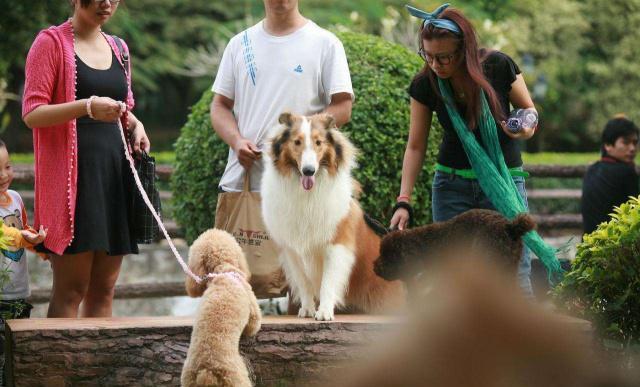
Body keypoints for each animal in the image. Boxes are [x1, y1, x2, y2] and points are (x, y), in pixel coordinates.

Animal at [181, 230, 262, 387]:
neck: (222, 271)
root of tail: (207, 371)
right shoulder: (252, 308)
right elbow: (253, 325)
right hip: (237, 379)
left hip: (188, 379)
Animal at [262, 112, 404, 322]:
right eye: (297, 142)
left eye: (318, 142)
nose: (309, 171)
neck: (307, 195)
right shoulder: (292, 250)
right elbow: (304, 283)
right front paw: (307, 309)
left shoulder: (336, 245)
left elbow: (328, 282)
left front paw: (324, 312)